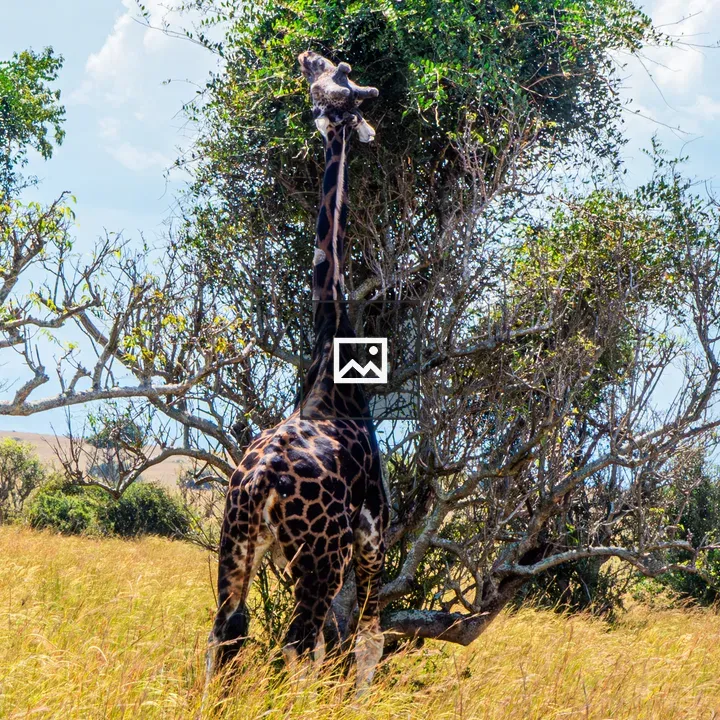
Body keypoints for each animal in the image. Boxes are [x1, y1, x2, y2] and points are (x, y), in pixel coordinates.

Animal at [205, 51, 388, 694]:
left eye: (325, 76)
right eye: (342, 80)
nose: (308, 56)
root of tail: (261, 480)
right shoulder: (372, 533)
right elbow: (365, 639)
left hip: (235, 542)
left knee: (226, 632)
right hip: (321, 555)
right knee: (298, 642)